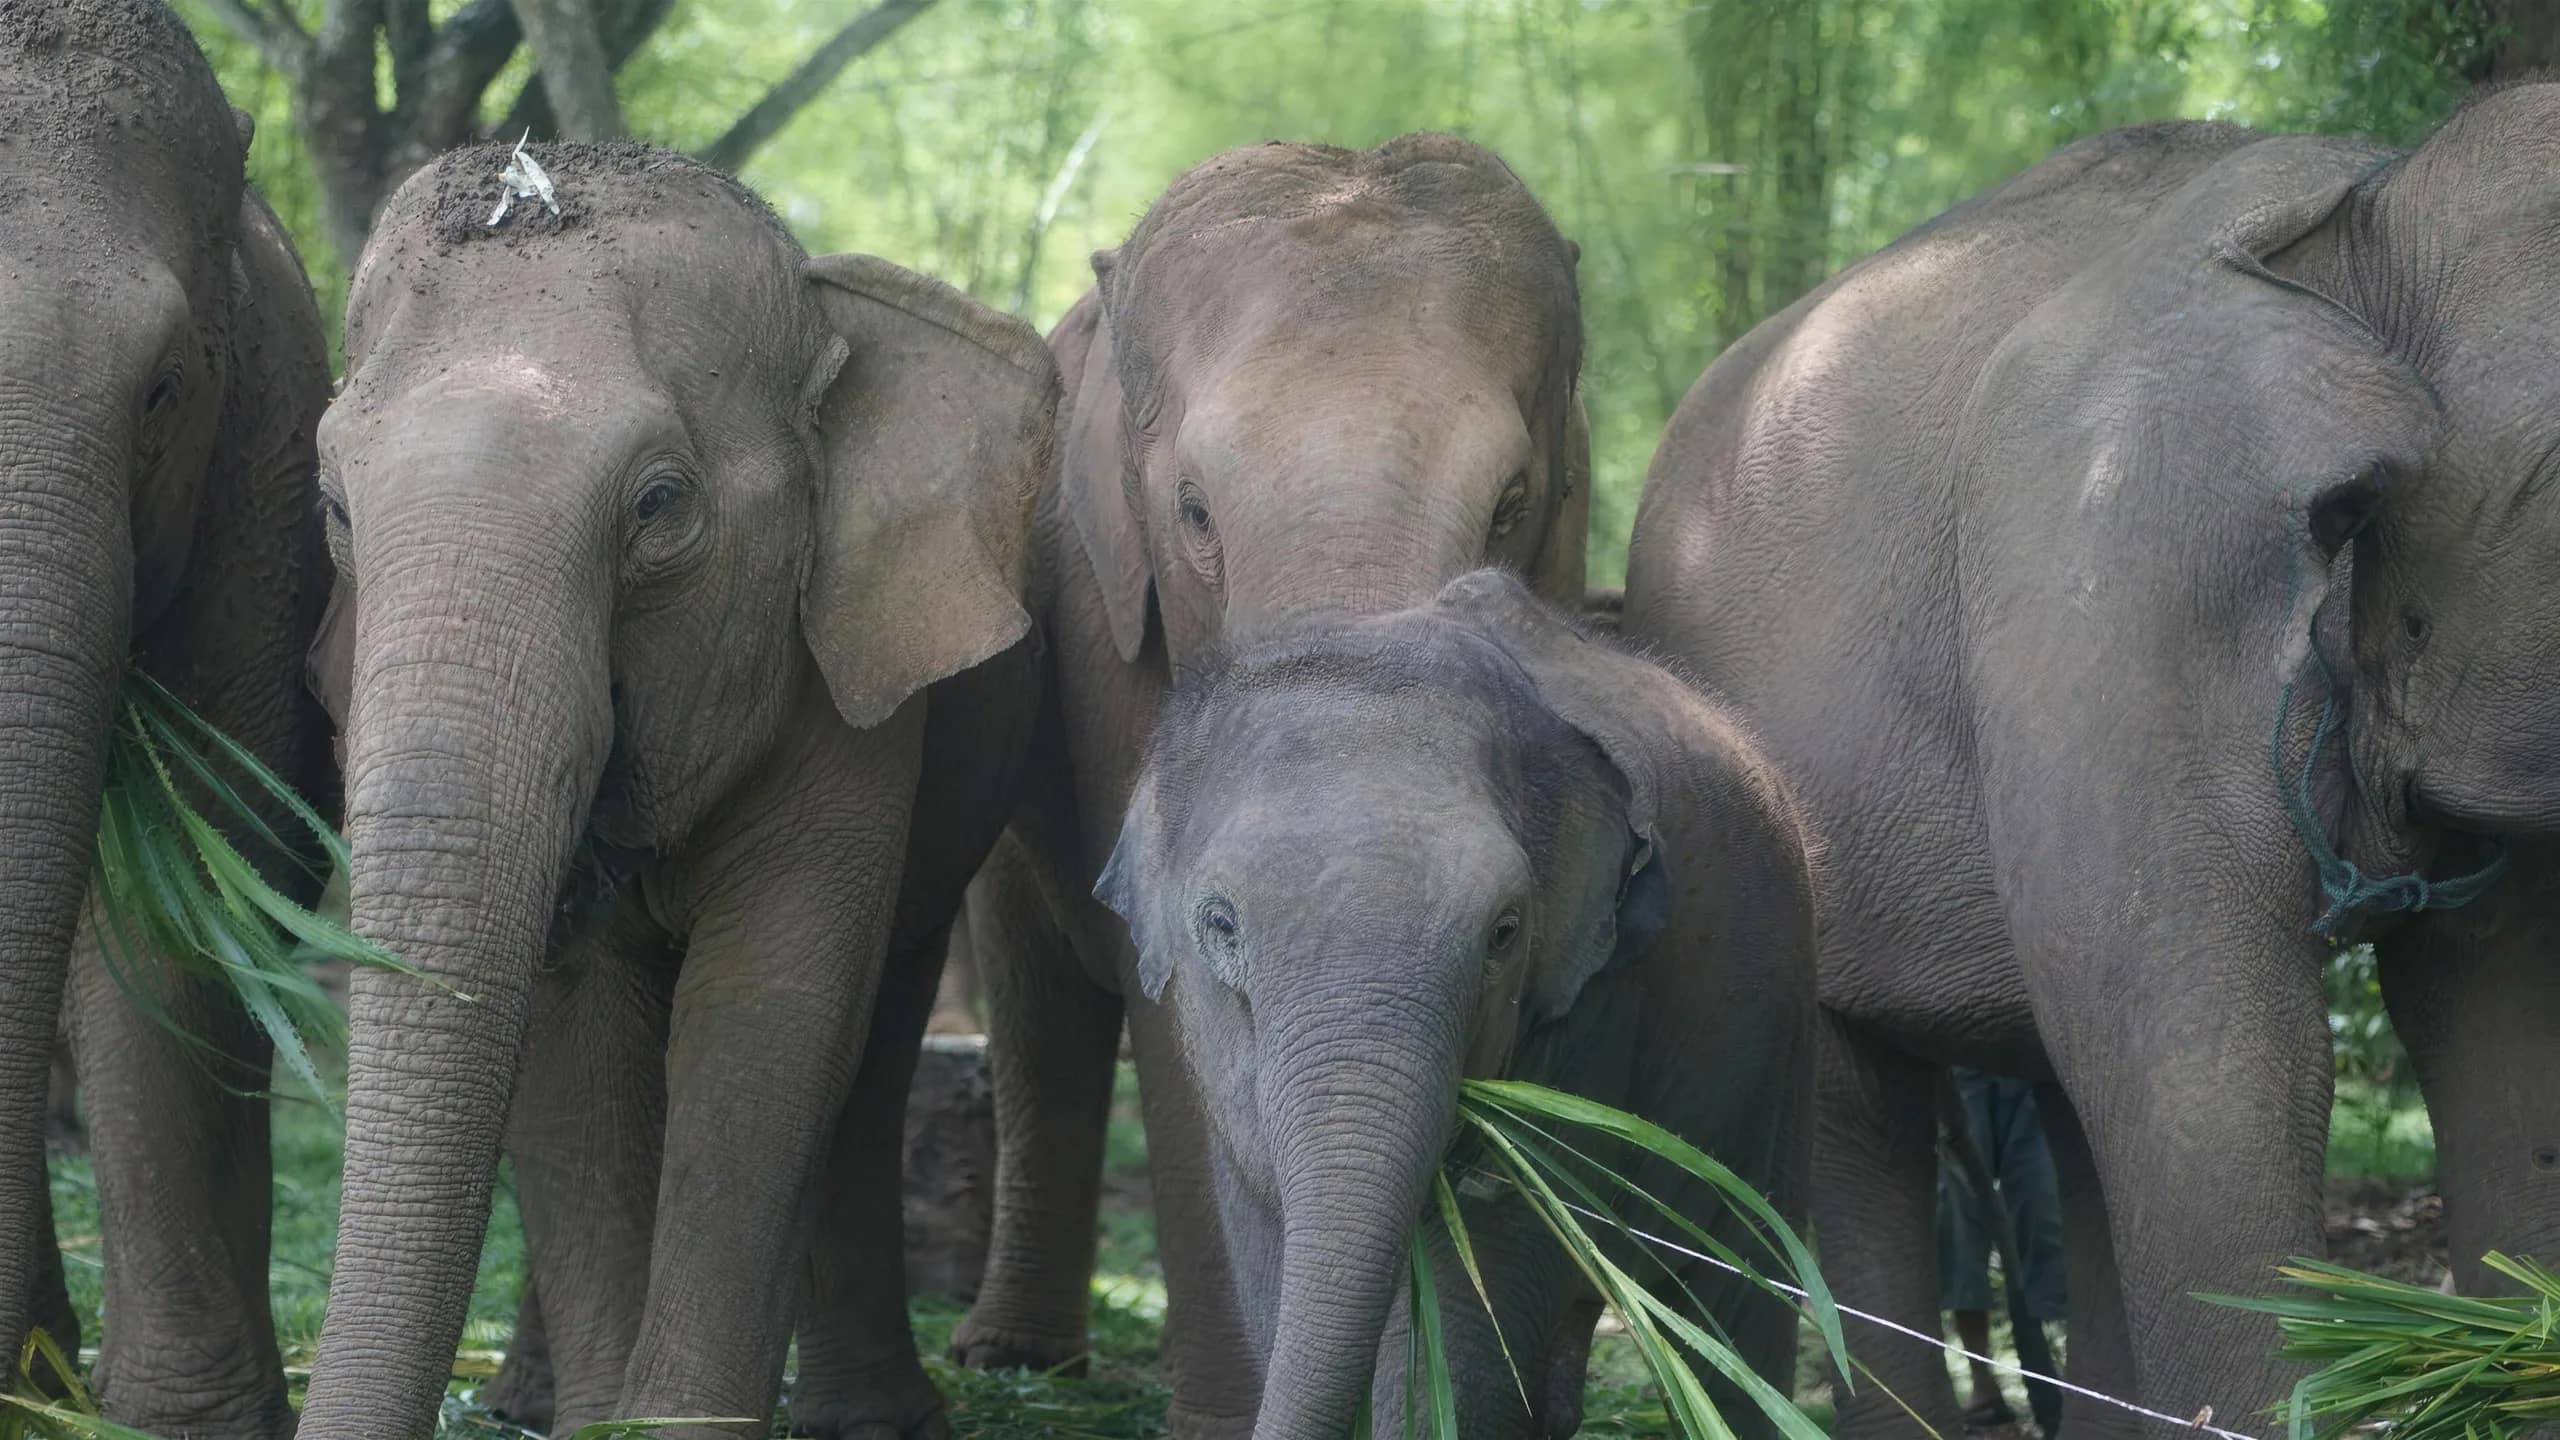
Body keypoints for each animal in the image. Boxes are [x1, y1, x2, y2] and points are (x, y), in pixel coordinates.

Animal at [292, 141, 1058, 1440]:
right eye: (335, 509)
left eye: (659, 506)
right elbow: (575, 1030)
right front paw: (603, 1422)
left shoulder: (846, 688)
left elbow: (768, 1011)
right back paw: (529, 1402)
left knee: (874, 1037)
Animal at [945, 132, 1591, 1432]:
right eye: (1193, 513)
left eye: (1512, 506)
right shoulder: (1113, 641)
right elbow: (1171, 1010)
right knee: (1038, 993)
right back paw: (1013, 1362)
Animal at [1094, 569, 1817, 1440]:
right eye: (1220, 925)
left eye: (1504, 933)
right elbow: (1276, 1275)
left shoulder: (1597, 1007)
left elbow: (1479, 1309)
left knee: (1738, 1294)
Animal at [1623, 93, 2560, 1439]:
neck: (2369, 237)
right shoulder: (2110, 562)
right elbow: (2213, 1058)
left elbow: (2495, 1014)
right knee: (1867, 1120)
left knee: (2069, 1109)